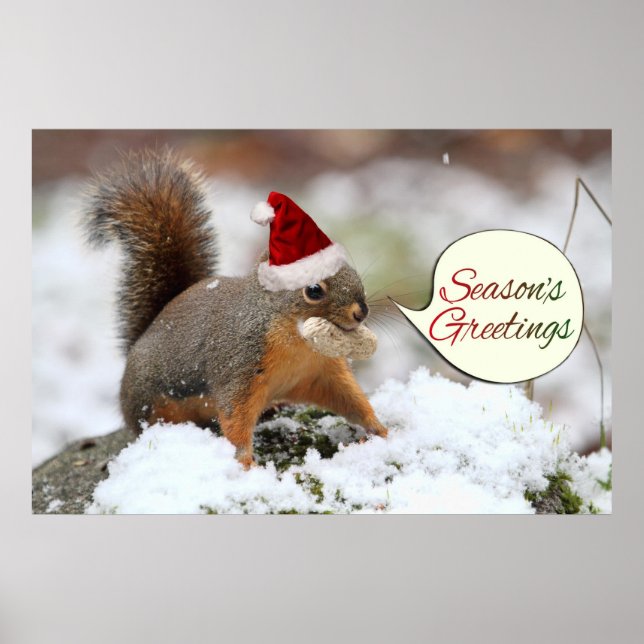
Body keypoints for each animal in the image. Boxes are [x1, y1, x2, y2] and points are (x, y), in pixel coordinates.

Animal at [84, 149, 388, 468]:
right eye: (314, 290)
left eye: (352, 271)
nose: (362, 312)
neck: (296, 340)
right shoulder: (239, 364)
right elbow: (235, 417)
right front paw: (245, 464)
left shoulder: (321, 372)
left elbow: (350, 398)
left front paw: (380, 429)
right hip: (150, 402)